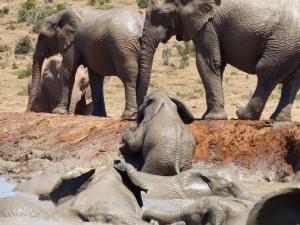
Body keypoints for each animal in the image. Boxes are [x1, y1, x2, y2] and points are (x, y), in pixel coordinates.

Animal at [137, 0, 300, 121]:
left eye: (159, 13)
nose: (138, 115)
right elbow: (217, 64)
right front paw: (206, 116)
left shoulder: (208, 24)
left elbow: (207, 62)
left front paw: (213, 118)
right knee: (292, 82)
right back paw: (279, 120)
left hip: (283, 43)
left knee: (266, 73)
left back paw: (243, 114)